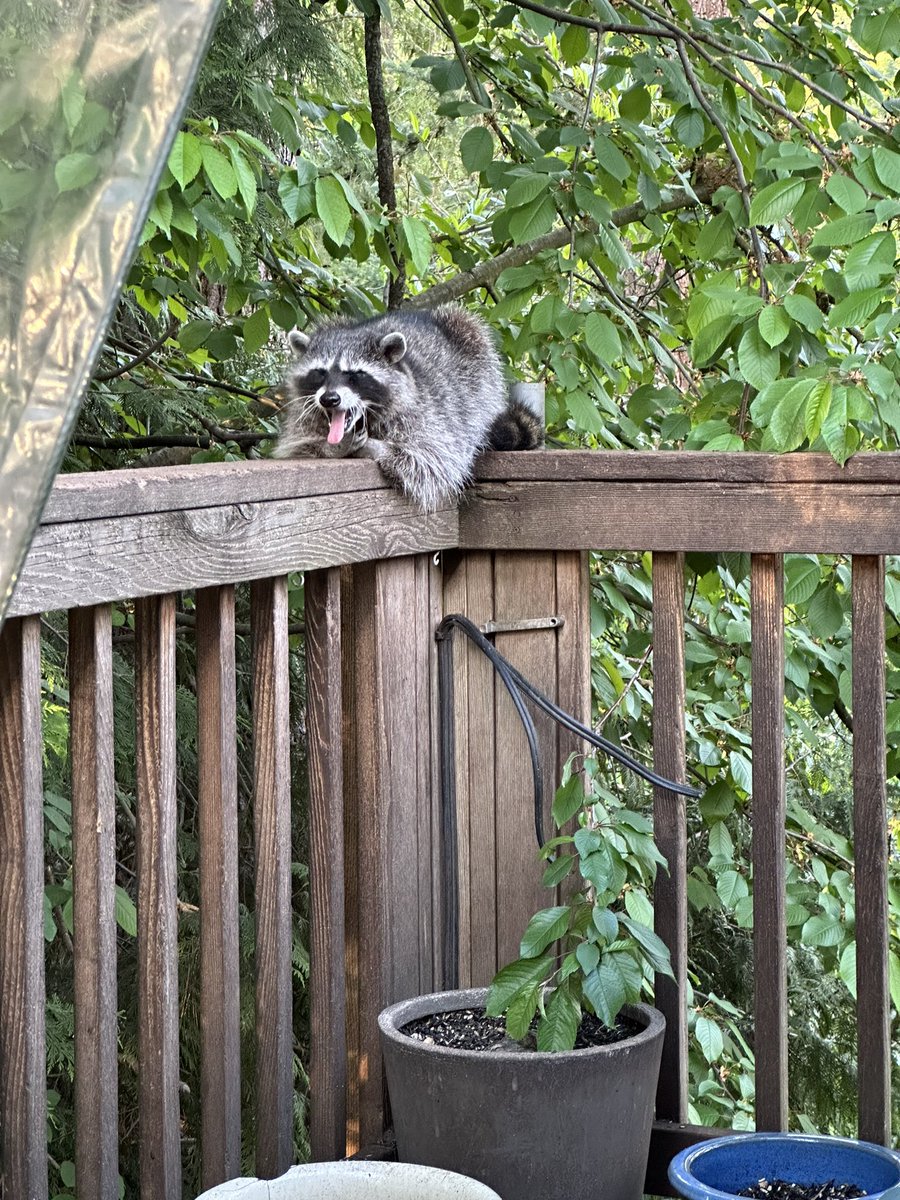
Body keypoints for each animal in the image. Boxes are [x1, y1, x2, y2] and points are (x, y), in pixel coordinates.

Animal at [273, 304, 542, 512]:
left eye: (355, 375)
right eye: (320, 373)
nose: (329, 399)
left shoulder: (429, 415)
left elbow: (433, 462)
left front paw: (378, 447)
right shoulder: (305, 419)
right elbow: (297, 448)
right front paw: (331, 448)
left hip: (477, 361)